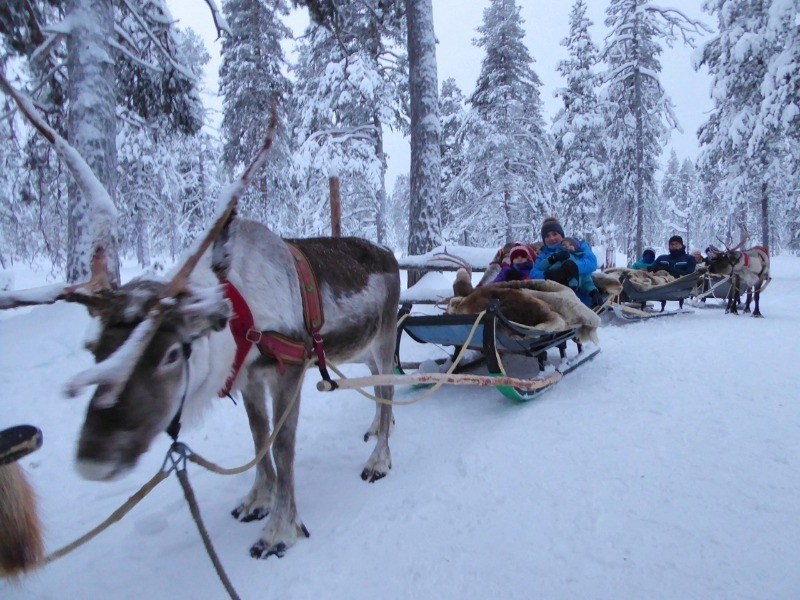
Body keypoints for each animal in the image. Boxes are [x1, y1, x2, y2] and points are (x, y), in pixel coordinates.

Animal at [0, 76, 401, 559]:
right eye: (96, 350)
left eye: (172, 353)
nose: (94, 459)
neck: (240, 315)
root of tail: (390, 253)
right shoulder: (248, 378)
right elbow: (258, 439)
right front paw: (257, 500)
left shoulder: (287, 371)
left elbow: (282, 449)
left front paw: (279, 530)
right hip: (357, 350)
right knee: (380, 387)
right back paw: (375, 430)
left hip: (383, 336)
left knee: (388, 389)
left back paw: (379, 459)